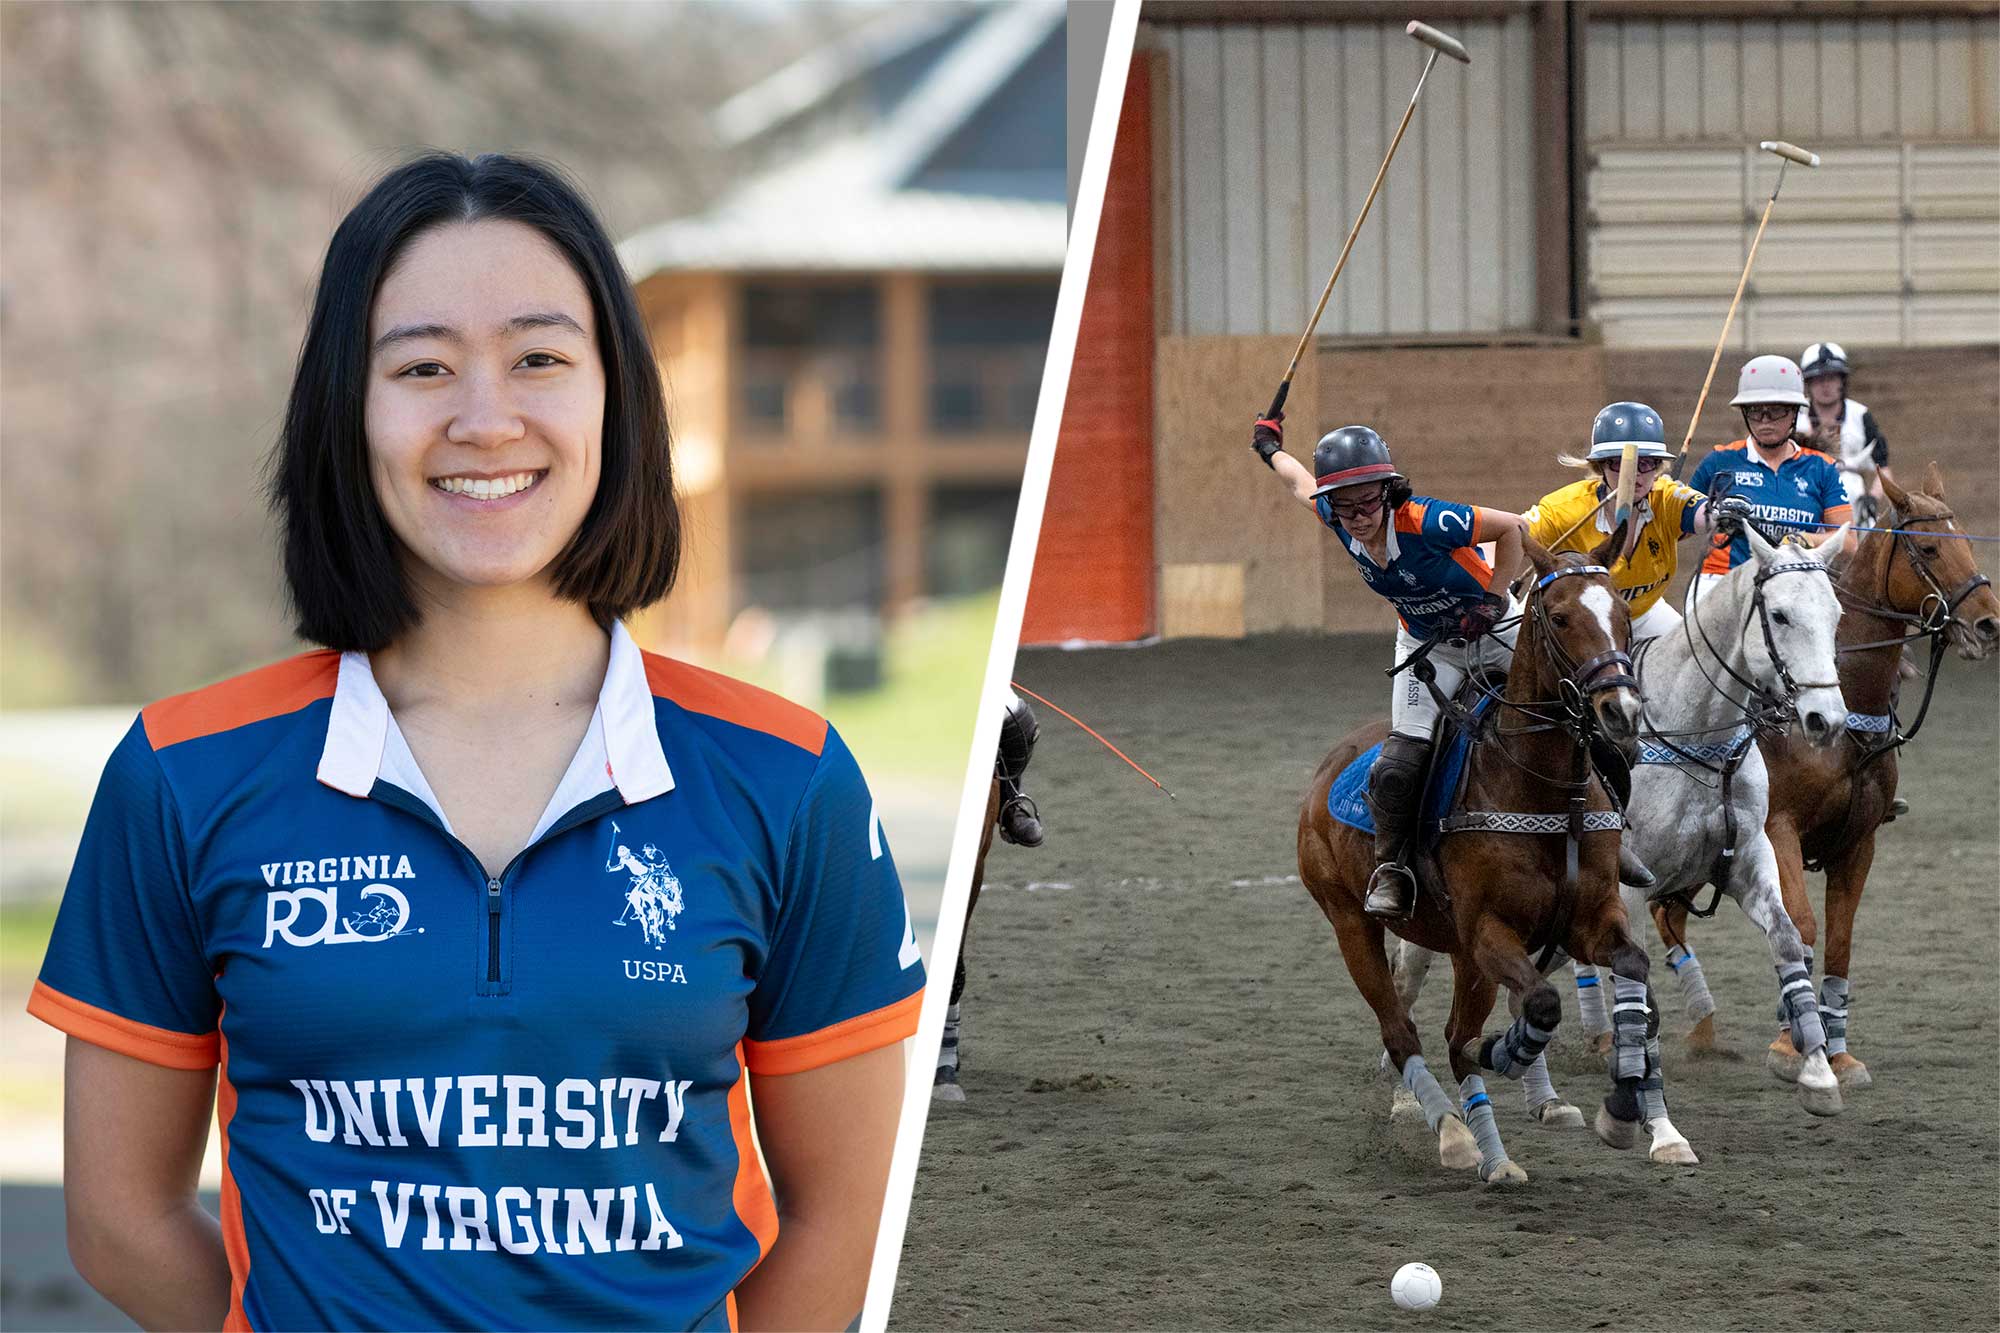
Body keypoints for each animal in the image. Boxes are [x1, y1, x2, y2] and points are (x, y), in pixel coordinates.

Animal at [1296, 536, 1704, 1176]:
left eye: (1621, 610)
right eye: (1559, 617)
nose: (1620, 711)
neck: (1539, 787)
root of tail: (1327, 769)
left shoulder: (1589, 918)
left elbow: (1632, 971)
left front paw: (1620, 1111)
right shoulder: (1489, 928)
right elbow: (1537, 1003)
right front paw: (1507, 1052)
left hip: (1461, 952)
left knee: (1452, 1034)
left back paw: (1493, 1145)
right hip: (1351, 923)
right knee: (1409, 1032)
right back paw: (1457, 1136)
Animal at [1392, 520, 1856, 1152]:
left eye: (1835, 614)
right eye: (1780, 615)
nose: (1825, 720)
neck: (1697, 740)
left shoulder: (1748, 858)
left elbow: (1787, 941)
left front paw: (1817, 1076)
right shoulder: (1628, 893)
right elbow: (1646, 1008)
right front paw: (1658, 1129)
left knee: (1519, 991)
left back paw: (1545, 1099)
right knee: (1406, 980)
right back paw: (1410, 1101)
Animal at [1656, 462, 2000, 1088]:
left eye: (1965, 539)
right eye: (1930, 548)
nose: (1988, 623)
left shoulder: (1860, 841)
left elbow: (1841, 941)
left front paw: (1838, 1051)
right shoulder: (1778, 830)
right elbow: (1804, 926)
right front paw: (1791, 1042)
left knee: (1668, 915)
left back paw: (1701, 1031)